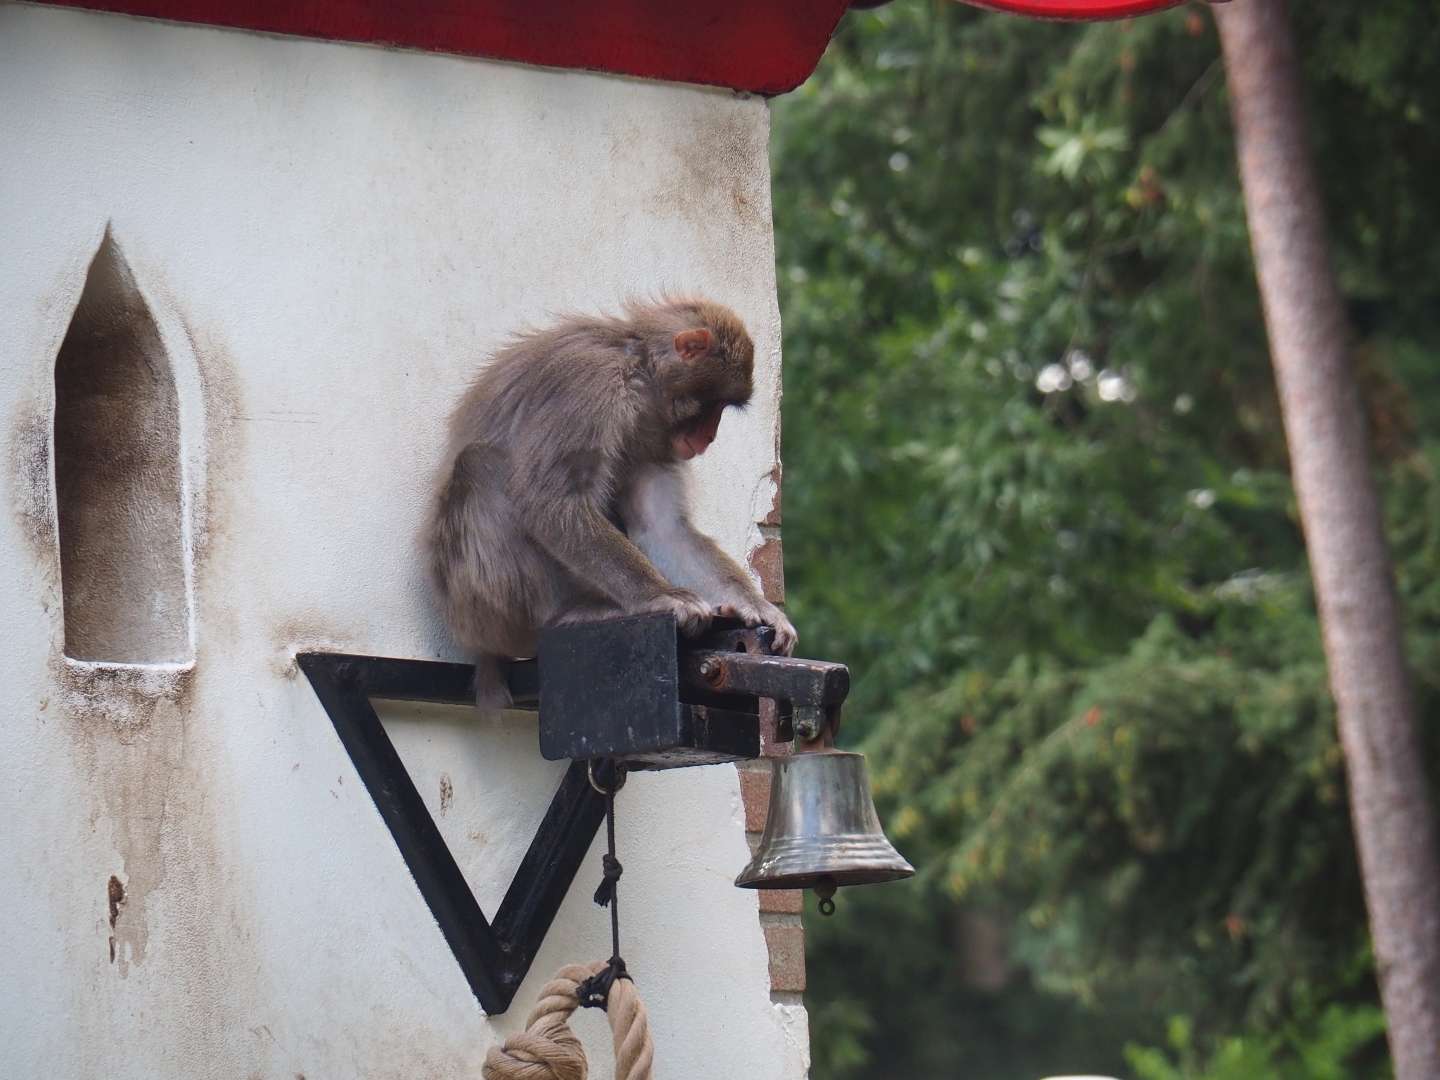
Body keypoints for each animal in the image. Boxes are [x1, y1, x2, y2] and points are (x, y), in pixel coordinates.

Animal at [427, 297, 797, 711]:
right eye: (714, 404)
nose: (710, 436)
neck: (639, 373)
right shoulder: (590, 384)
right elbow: (549, 501)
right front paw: (660, 596)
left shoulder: (653, 440)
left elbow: (663, 531)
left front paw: (753, 605)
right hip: (478, 609)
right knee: (478, 465)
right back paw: (565, 613)